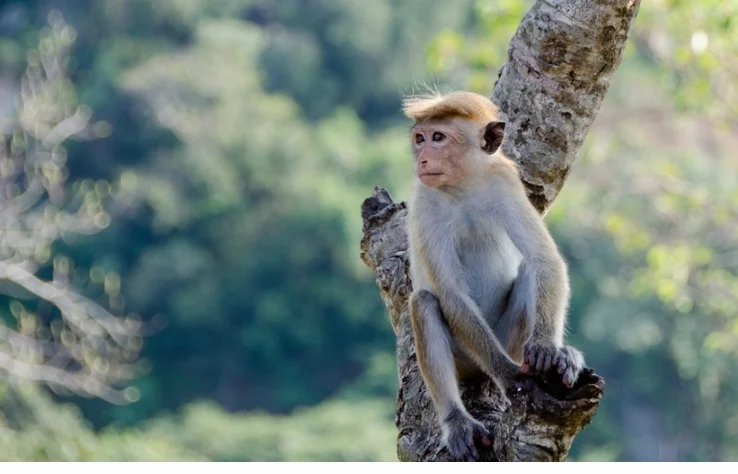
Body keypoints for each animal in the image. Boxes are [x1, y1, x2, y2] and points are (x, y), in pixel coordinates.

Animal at [402, 90, 580, 462]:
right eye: (420, 139)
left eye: (438, 137)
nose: (423, 159)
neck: (462, 187)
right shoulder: (425, 203)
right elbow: (451, 294)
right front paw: (507, 374)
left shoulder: (504, 183)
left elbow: (544, 259)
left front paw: (550, 349)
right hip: (466, 355)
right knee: (424, 302)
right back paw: (457, 420)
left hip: (509, 338)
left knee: (528, 271)